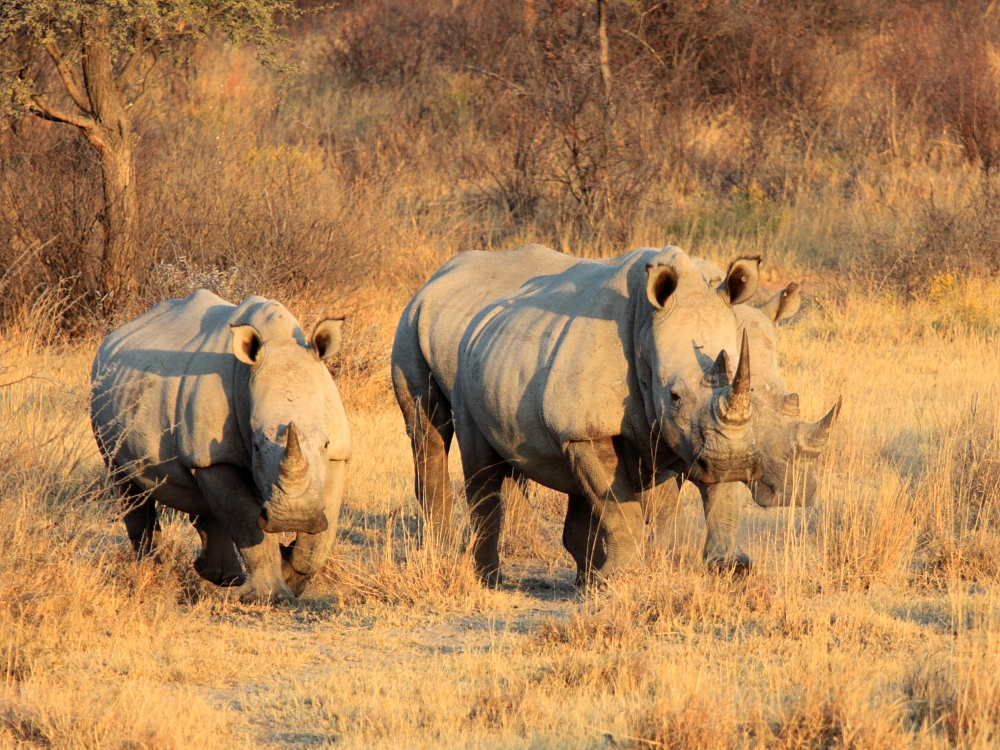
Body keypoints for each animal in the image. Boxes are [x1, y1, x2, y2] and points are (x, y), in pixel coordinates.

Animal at [93, 290, 352, 604]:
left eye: (325, 444)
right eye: (256, 447)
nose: (295, 517)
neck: (279, 342)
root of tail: (117, 334)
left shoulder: (338, 455)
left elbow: (319, 540)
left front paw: (292, 575)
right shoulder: (214, 458)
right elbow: (246, 523)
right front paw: (269, 597)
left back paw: (221, 576)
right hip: (105, 400)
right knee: (125, 480)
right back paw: (153, 572)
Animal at [394, 244, 760, 584]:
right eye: (675, 396)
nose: (729, 464)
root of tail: (438, 276)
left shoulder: (687, 438)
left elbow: (689, 502)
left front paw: (729, 567)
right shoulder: (585, 432)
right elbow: (621, 509)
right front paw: (616, 579)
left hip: (497, 358)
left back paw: (583, 579)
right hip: (416, 329)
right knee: (442, 436)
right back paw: (477, 573)